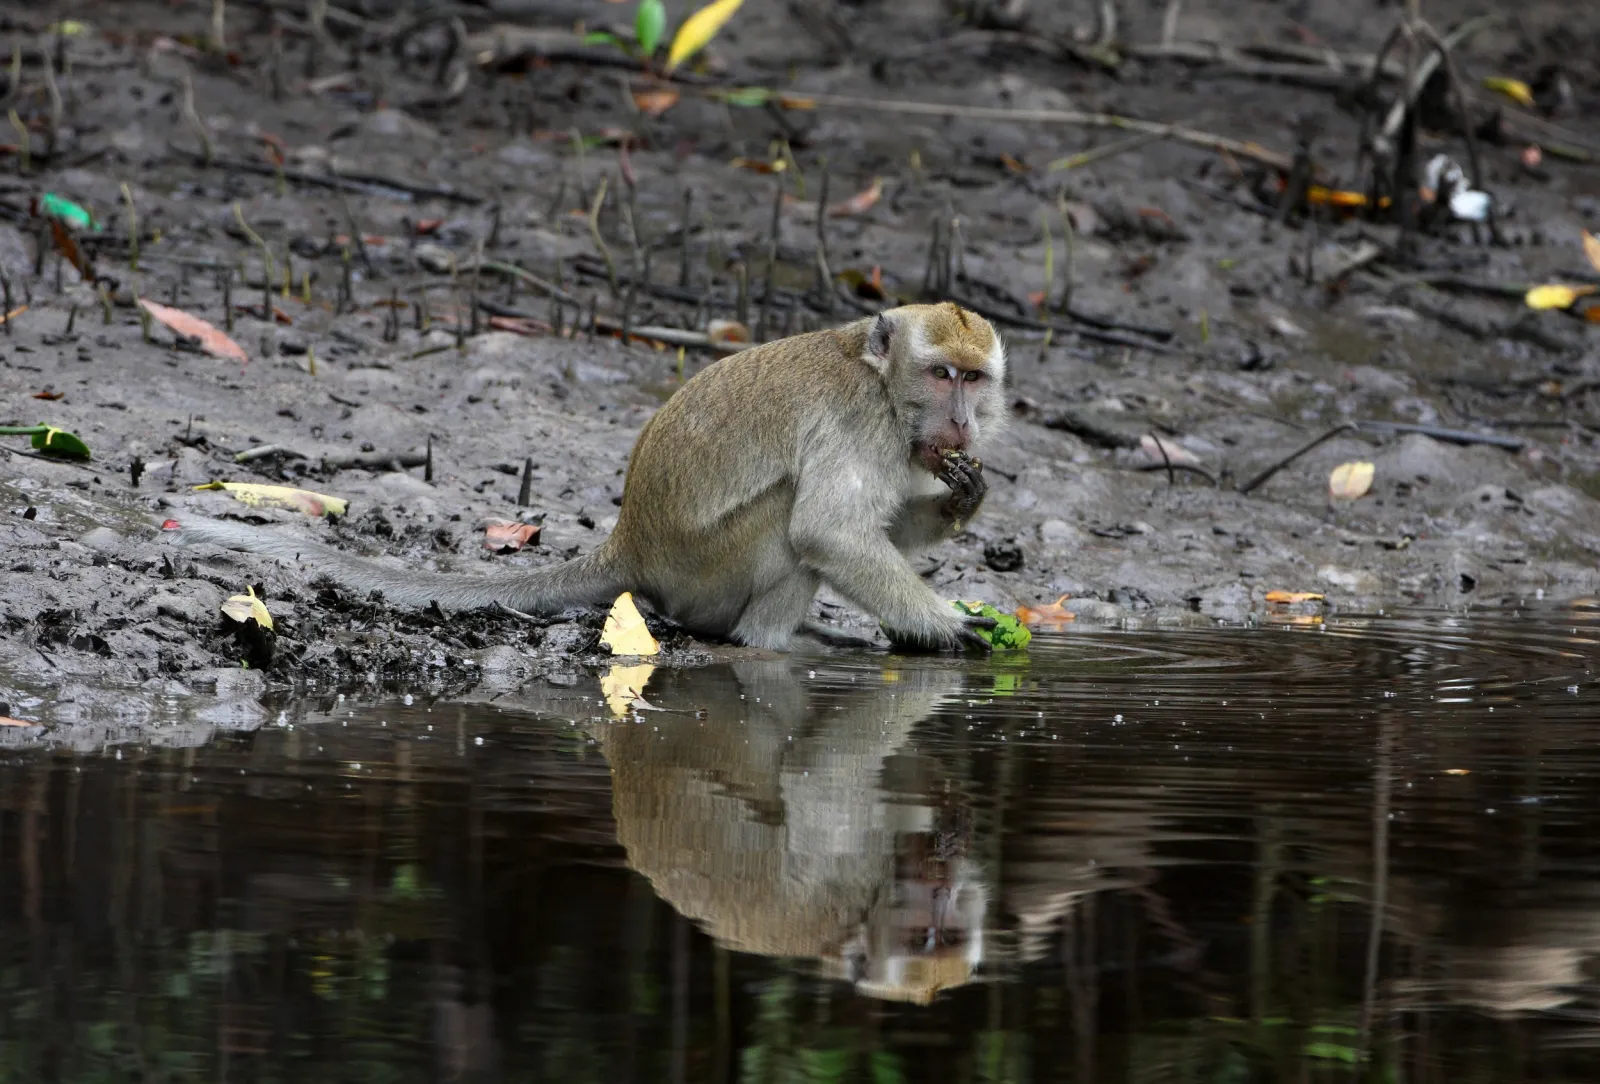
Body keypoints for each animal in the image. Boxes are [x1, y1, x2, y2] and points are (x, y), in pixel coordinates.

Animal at [173, 301, 1009, 651]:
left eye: (976, 378)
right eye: (943, 375)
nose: (965, 420)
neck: (884, 385)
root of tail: (629, 544)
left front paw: (964, 499)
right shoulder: (855, 421)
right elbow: (829, 532)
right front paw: (946, 624)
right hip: (708, 573)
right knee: (788, 523)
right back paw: (777, 643)